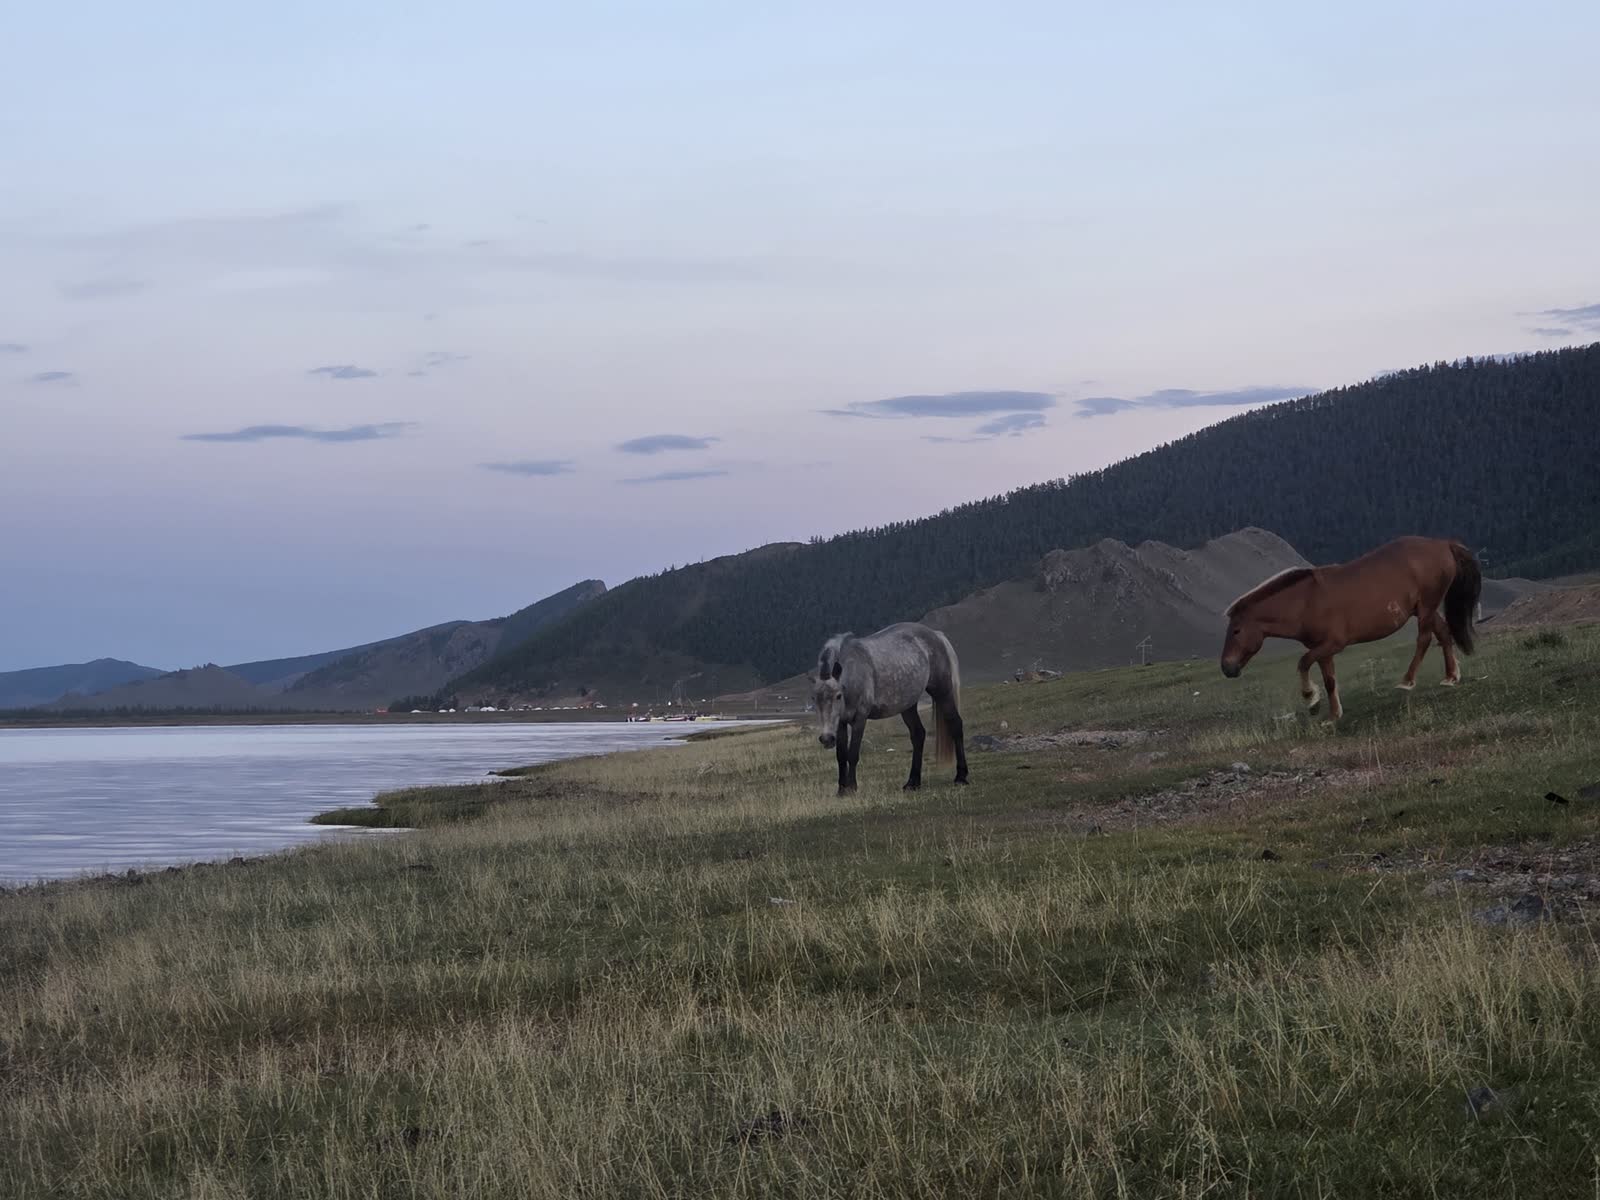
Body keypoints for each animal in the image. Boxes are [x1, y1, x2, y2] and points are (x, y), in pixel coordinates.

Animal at [812, 622, 968, 794]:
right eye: (814, 699)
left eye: (838, 696)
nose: (826, 739)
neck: (854, 672)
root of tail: (937, 635)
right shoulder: (841, 722)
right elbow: (841, 756)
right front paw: (841, 790)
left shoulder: (860, 718)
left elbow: (853, 754)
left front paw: (852, 787)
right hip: (908, 706)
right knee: (918, 735)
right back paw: (912, 782)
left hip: (942, 691)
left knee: (955, 724)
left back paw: (961, 777)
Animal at [1219, 536, 1483, 720]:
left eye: (1236, 630)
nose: (1227, 667)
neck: (1305, 602)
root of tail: (1443, 543)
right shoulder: (1323, 650)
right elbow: (1329, 680)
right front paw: (1333, 714)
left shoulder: (1332, 644)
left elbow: (1303, 663)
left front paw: (1311, 701)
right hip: (1424, 608)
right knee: (1444, 632)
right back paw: (1451, 676)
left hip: (1426, 607)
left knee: (1425, 639)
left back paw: (1407, 680)